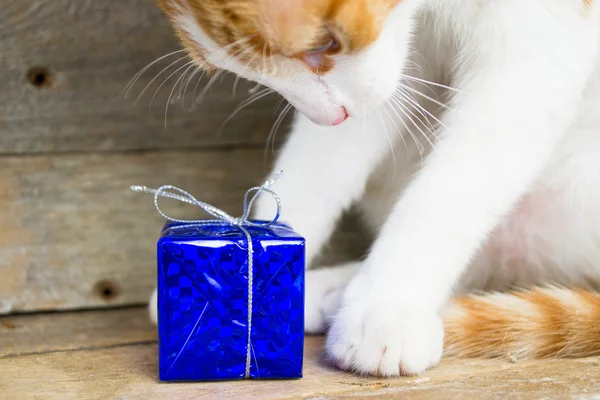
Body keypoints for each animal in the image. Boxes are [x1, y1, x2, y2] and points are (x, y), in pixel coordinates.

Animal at [150, 0, 600, 376]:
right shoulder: (395, 53)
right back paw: (329, 292)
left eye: (325, 44)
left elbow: (452, 187)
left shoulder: (537, 45)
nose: (332, 116)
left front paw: (388, 309)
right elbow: (316, 166)